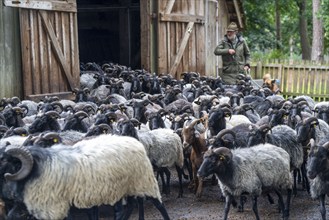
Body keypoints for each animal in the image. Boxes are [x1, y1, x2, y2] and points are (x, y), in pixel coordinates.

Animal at [0, 134, 169, 220]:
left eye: (4, 160)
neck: (37, 169)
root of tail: (136, 141)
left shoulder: (54, 207)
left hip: (144, 180)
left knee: (159, 204)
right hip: (126, 187)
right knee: (131, 205)